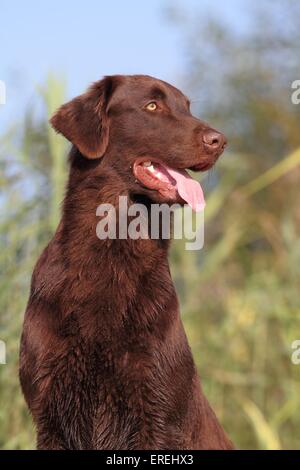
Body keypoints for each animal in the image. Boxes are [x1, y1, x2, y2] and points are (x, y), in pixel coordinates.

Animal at [19, 75, 233, 450]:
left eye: (186, 107)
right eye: (152, 105)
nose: (219, 141)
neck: (113, 251)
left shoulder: (158, 411)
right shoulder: (49, 414)